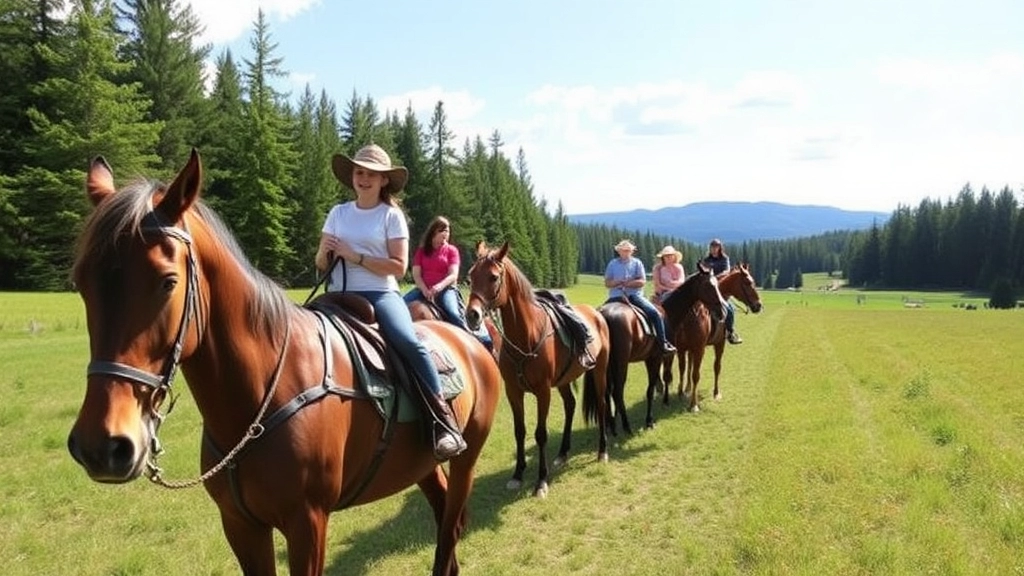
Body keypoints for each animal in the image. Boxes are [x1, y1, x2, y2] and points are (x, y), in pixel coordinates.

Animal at [66, 151, 501, 573]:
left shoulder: (307, 523)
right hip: (422, 465)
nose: (102, 446)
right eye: (81, 281)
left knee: (450, 525)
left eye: (167, 282)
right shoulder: (240, 525)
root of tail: (471, 340)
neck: (262, 392)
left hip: (466, 458)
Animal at [462, 239, 606, 496]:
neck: (525, 337)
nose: (472, 316)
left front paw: (541, 481)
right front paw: (518, 474)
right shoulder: (514, 391)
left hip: (599, 372)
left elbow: (541, 433)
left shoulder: (543, 391)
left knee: (600, 405)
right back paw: (562, 453)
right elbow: (520, 431)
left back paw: (602, 451)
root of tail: (596, 313)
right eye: (470, 277)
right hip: (564, 380)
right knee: (570, 405)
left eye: (493, 277)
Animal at [667, 262, 765, 409]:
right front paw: (686, 398)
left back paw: (690, 388)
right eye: (748, 282)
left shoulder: (709, 346)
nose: (758, 305)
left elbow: (712, 368)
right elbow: (686, 370)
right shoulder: (684, 348)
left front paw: (713, 394)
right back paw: (687, 389)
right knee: (690, 366)